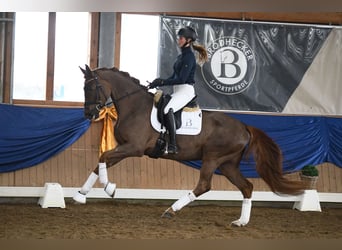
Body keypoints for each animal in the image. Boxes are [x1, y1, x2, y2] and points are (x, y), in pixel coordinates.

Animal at [73, 64, 304, 227]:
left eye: (92, 87)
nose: (89, 114)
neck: (134, 106)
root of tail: (244, 127)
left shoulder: (134, 148)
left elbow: (103, 158)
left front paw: (110, 188)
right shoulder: (124, 148)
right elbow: (100, 163)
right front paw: (80, 195)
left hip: (212, 158)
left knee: (204, 185)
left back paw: (171, 210)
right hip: (227, 164)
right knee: (246, 186)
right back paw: (241, 222)